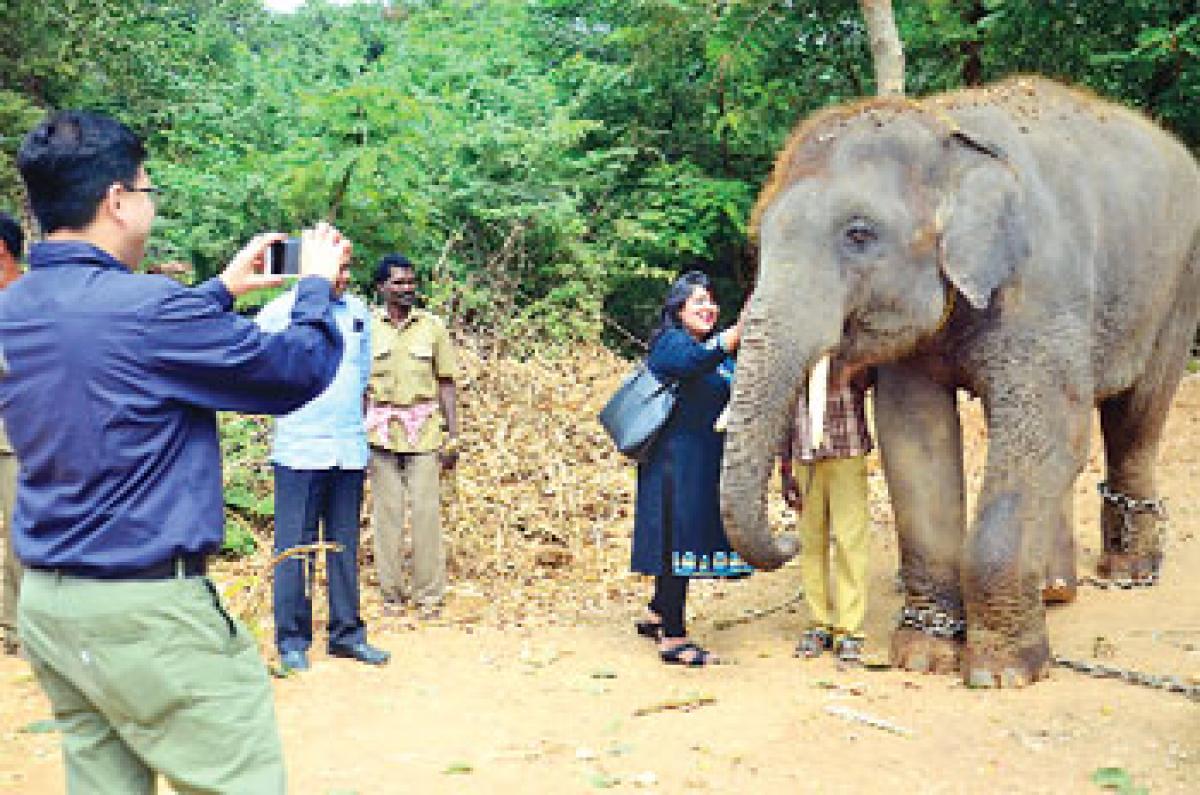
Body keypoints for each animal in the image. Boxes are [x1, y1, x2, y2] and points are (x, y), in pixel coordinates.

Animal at [715, 78, 1195, 686]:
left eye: (858, 234)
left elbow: (1051, 428)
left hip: (1178, 284)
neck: (943, 130)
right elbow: (914, 439)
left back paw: (1128, 572)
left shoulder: (1042, 290)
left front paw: (1001, 673)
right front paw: (924, 656)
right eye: (759, 241)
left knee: (1136, 415)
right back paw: (1053, 591)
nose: (784, 533)